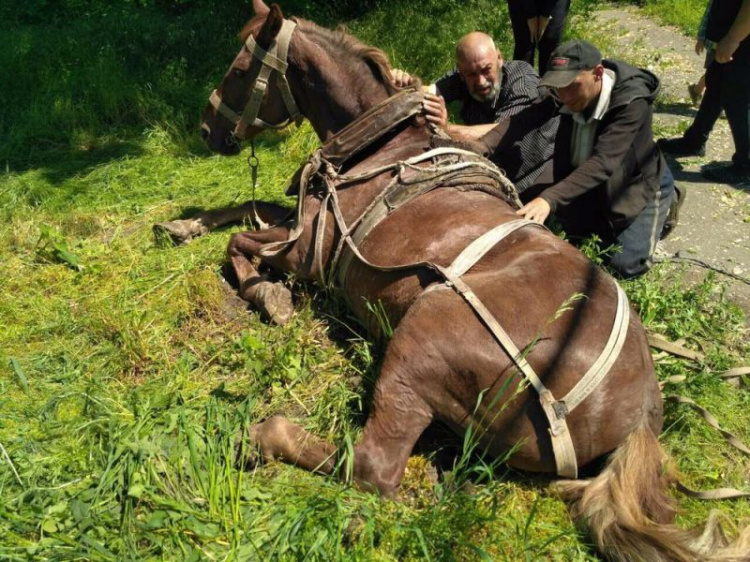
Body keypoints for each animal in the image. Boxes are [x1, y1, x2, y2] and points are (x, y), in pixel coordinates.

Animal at [172, 2, 750, 556]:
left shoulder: (309, 251)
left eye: (240, 68)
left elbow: (241, 245)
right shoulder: (302, 225)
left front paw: (270, 297)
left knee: (373, 468)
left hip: (424, 330)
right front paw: (183, 224)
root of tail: (640, 416)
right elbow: (246, 213)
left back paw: (264, 435)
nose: (205, 130)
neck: (380, 145)